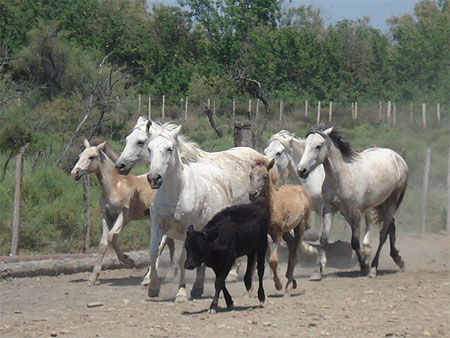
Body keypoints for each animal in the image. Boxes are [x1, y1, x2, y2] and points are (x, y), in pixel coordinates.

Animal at [146, 121, 270, 302]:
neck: (175, 193)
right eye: (149, 148)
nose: (154, 178)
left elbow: (181, 258)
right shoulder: (158, 226)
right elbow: (154, 252)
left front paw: (181, 292)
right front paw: (153, 288)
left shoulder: (185, 229)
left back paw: (197, 288)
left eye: (169, 148)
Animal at [248, 157, 312, 294]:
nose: (252, 194)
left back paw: (289, 285)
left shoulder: (276, 233)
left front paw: (278, 285)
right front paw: (249, 291)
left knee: (295, 251)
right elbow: (255, 261)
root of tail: (302, 190)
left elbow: (273, 260)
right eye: (250, 175)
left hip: (300, 226)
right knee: (291, 245)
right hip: (286, 230)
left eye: (265, 176)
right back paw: (291, 279)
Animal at [298, 127, 408, 280]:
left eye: (318, 146)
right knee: (391, 225)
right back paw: (399, 260)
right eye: (305, 145)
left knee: (383, 234)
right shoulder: (329, 209)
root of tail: (397, 157)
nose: (301, 170)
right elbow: (323, 239)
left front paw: (364, 266)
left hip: (392, 201)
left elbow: (355, 242)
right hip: (380, 203)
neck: (342, 176)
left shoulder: (354, 211)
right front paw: (317, 271)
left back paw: (374, 268)